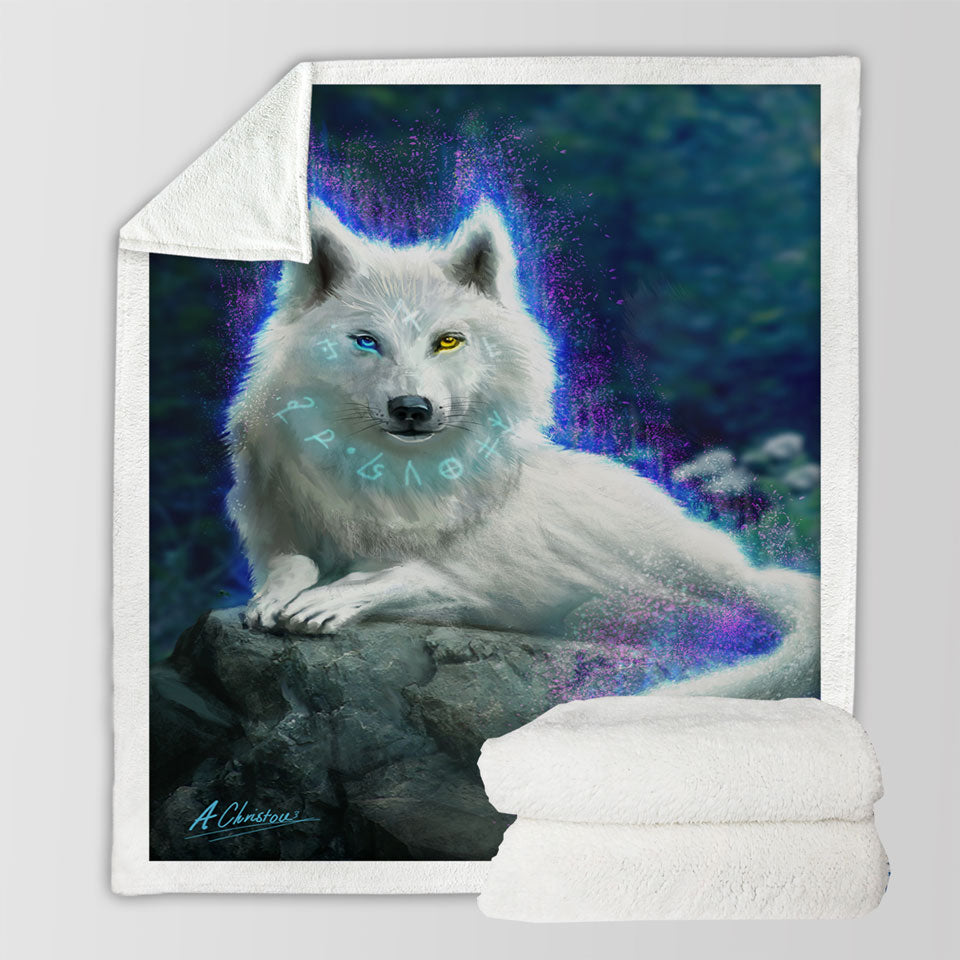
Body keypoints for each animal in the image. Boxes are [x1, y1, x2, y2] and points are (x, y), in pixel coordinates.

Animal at [226, 200, 820, 699]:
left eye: (448, 341)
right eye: (367, 341)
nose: (412, 408)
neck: (398, 480)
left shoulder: (506, 584)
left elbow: (417, 574)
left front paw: (332, 598)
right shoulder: (280, 527)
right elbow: (290, 563)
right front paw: (274, 597)